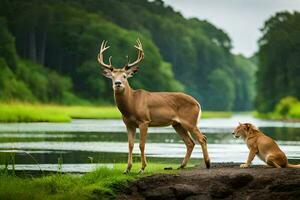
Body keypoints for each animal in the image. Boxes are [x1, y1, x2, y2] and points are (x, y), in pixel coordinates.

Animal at [97, 39, 210, 173]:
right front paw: (127, 169)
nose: (118, 83)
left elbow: (142, 145)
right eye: (113, 77)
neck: (132, 104)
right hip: (177, 124)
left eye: (124, 76)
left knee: (202, 138)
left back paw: (208, 163)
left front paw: (142, 168)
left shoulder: (144, 121)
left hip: (190, 121)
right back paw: (182, 165)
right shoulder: (129, 124)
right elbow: (130, 145)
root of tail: (197, 103)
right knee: (190, 142)